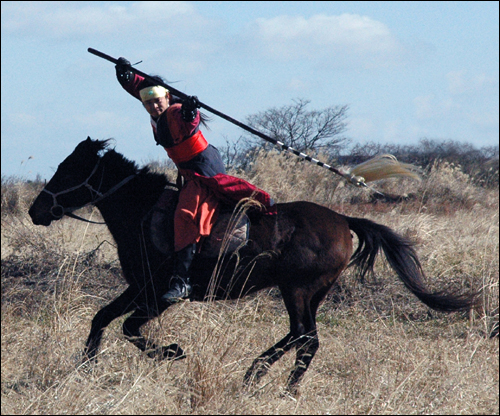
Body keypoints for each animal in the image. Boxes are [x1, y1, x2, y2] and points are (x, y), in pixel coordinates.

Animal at [29, 138, 478, 394]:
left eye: (67, 169)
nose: (36, 210)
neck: (143, 210)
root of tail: (343, 219)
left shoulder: (161, 295)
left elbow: (129, 327)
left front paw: (172, 352)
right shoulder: (139, 288)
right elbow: (102, 319)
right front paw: (85, 367)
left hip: (296, 289)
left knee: (305, 337)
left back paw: (274, 385)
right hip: (312, 292)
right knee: (302, 336)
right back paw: (262, 377)